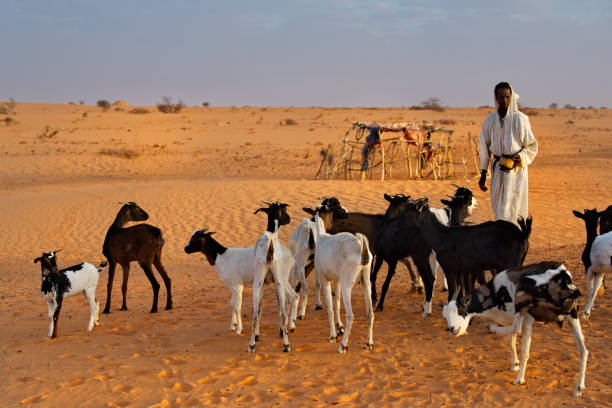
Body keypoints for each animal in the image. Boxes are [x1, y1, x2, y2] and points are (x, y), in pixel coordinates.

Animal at [310, 204, 372, 354]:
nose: (347, 213)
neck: (321, 238)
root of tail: (361, 246)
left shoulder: (325, 279)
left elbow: (330, 308)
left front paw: (333, 336)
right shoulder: (337, 281)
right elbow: (336, 304)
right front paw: (339, 329)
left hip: (347, 284)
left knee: (351, 315)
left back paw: (343, 346)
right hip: (366, 281)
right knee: (370, 313)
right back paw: (369, 343)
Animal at [444, 262, 588, 398]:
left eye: (460, 309)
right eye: (445, 316)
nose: (452, 329)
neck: (495, 292)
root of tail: (563, 277)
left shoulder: (526, 316)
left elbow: (518, 341)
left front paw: (519, 375)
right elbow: (511, 340)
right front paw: (515, 365)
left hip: (524, 301)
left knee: (517, 330)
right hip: (572, 314)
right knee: (583, 350)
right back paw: (579, 388)